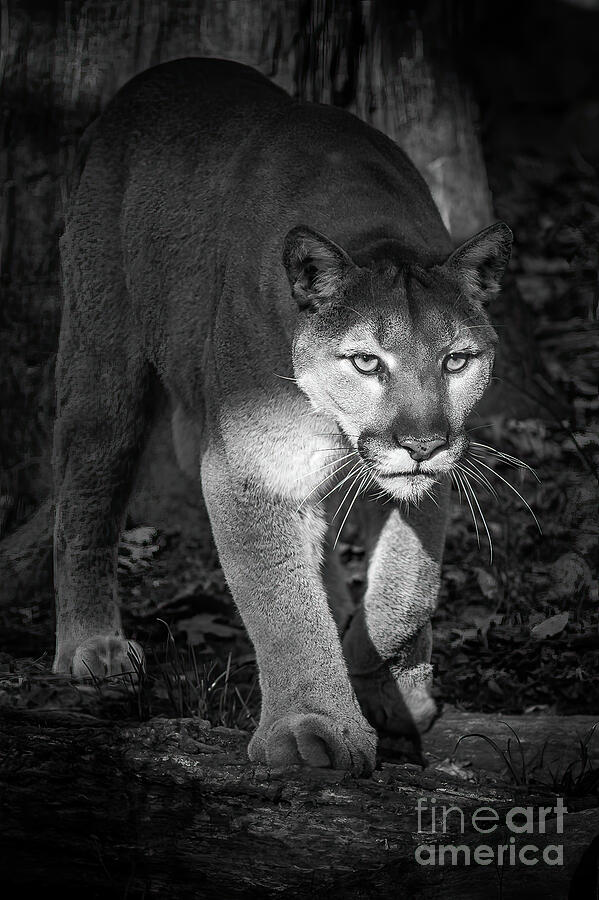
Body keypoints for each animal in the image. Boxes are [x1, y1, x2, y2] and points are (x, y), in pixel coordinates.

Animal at [54, 56, 510, 772]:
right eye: (366, 361)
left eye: (457, 361)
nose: (421, 444)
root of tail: (151, 80)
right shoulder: (251, 467)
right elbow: (283, 604)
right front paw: (312, 729)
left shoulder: (434, 475)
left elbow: (405, 591)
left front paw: (379, 676)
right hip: (106, 363)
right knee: (86, 491)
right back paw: (90, 646)